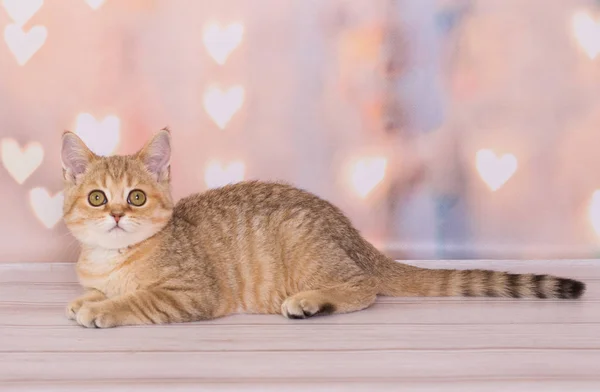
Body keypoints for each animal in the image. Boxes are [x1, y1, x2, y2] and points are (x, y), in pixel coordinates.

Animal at [61, 129, 584, 328]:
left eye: (136, 197)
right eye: (96, 197)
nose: (116, 215)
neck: (116, 259)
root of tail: (353, 235)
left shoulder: (191, 292)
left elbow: (140, 299)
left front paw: (103, 309)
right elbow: (99, 290)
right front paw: (88, 298)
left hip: (309, 248)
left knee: (364, 287)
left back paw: (312, 302)